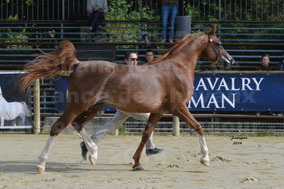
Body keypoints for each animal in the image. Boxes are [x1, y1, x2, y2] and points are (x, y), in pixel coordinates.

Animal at [19, 25, 233, 173]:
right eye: (219, 43)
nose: (230, 61)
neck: (177, 68)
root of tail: (78, 64)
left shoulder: (158, 111)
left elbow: (146, 134)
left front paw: (137, 163)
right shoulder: (178, 108)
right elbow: (198, 127)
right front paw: (205, 159)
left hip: (95, 105)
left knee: (78, 124)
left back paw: (93, 153)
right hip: (79, 104)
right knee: (59, 126)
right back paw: (42, 163)